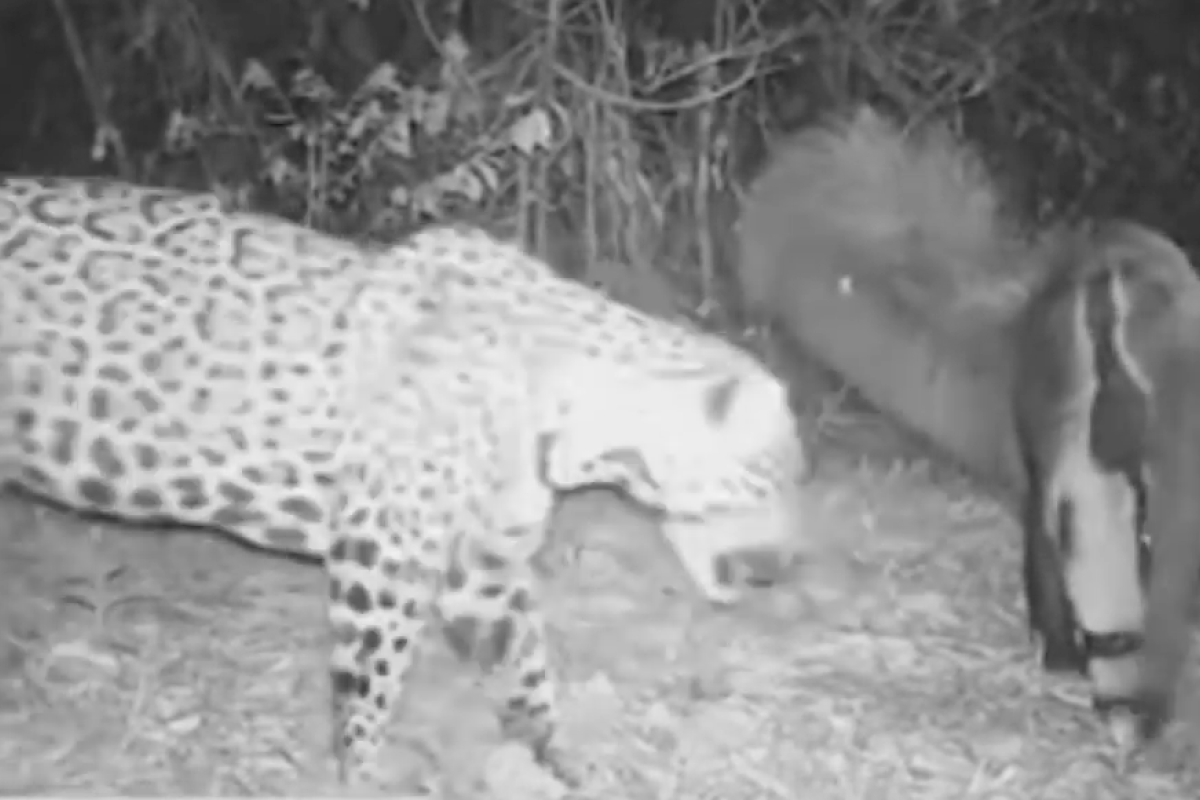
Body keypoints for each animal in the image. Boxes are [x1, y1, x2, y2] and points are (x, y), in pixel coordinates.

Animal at [0, 175, 812, 789]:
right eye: (774, 480)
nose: (789, 565)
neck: (576, 417)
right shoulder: (383, 553)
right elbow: (372, 681)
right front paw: (363, 774)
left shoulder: (482, 567)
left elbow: (524, 663)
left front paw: (555, 756)